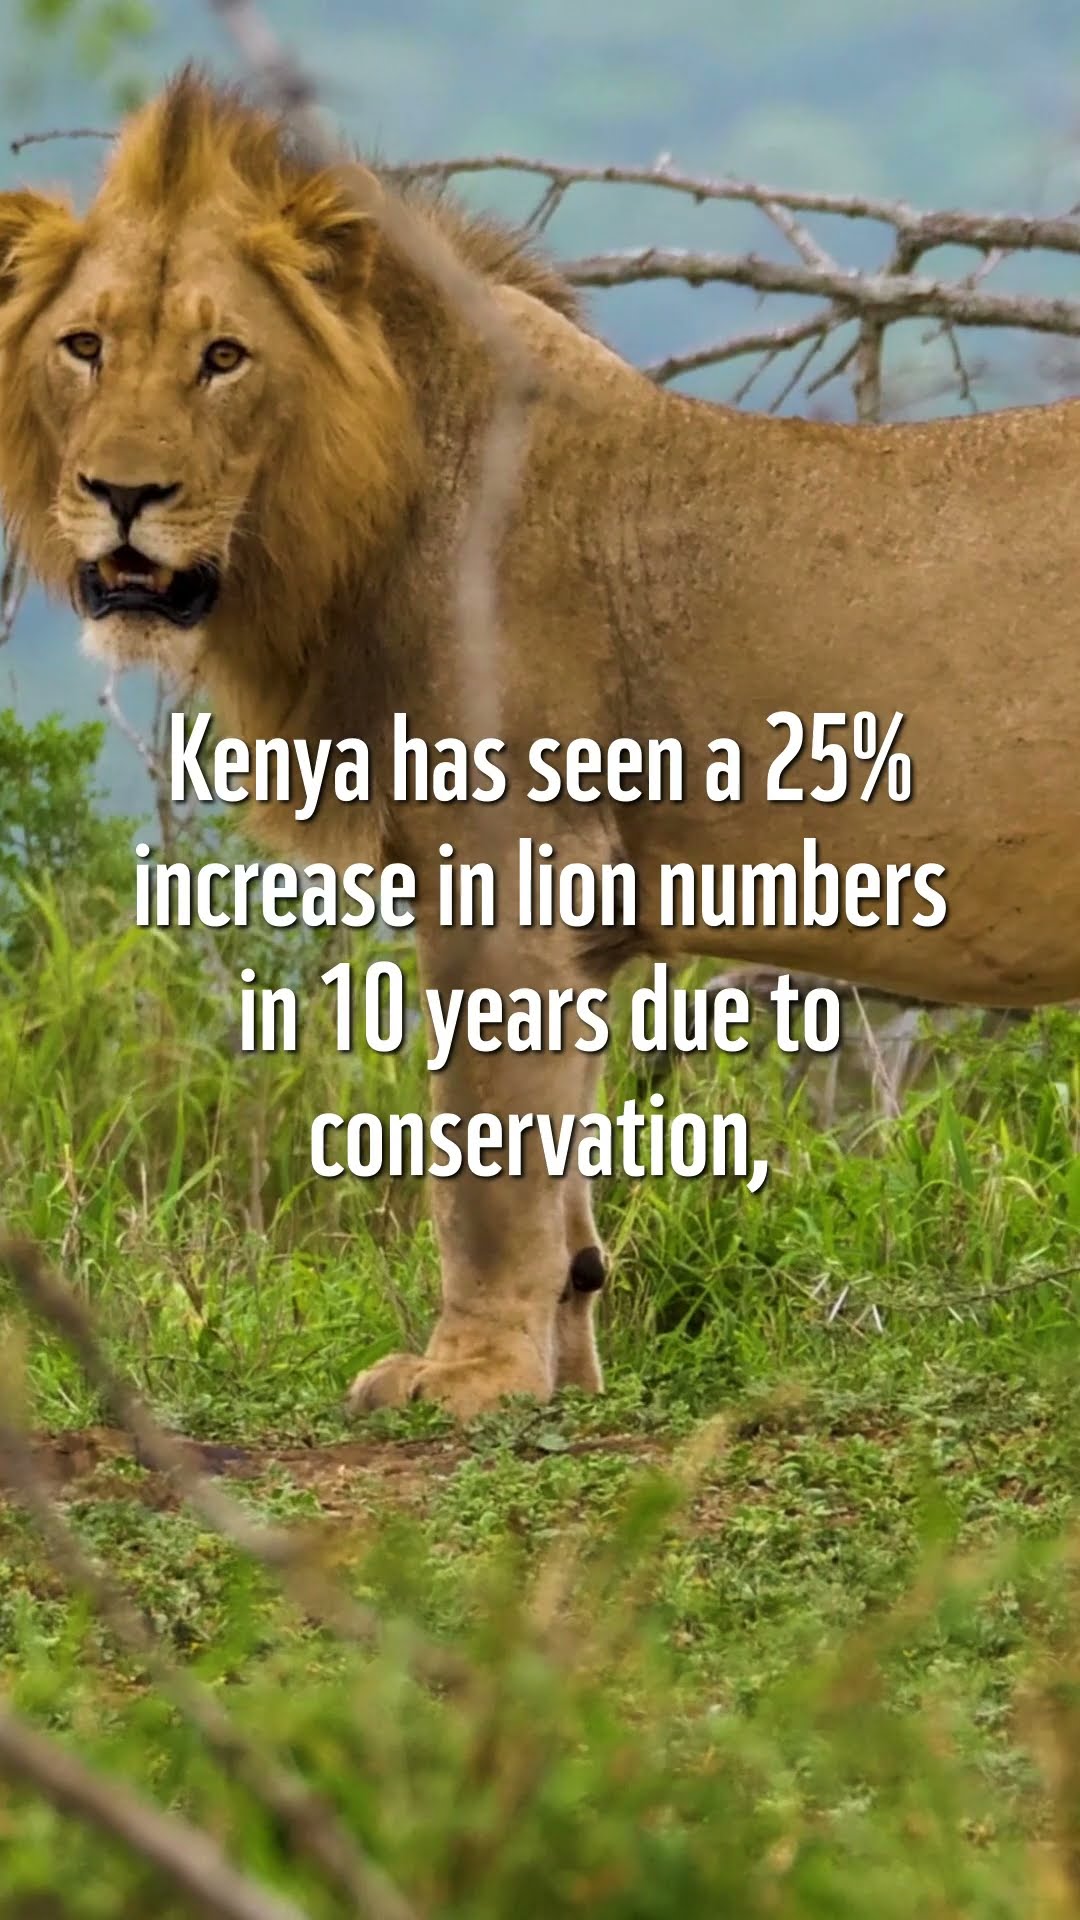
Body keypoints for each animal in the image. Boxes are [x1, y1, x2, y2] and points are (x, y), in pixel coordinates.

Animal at [3, 69, 1080, 1418]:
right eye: (84, 346)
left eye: (223, 358)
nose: (122, 496)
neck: (352, 521)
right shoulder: (583, 912)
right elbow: (559, 1178)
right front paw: (561, 1374)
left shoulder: (509, 857)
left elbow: (486, 1156)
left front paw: (467, 1378)